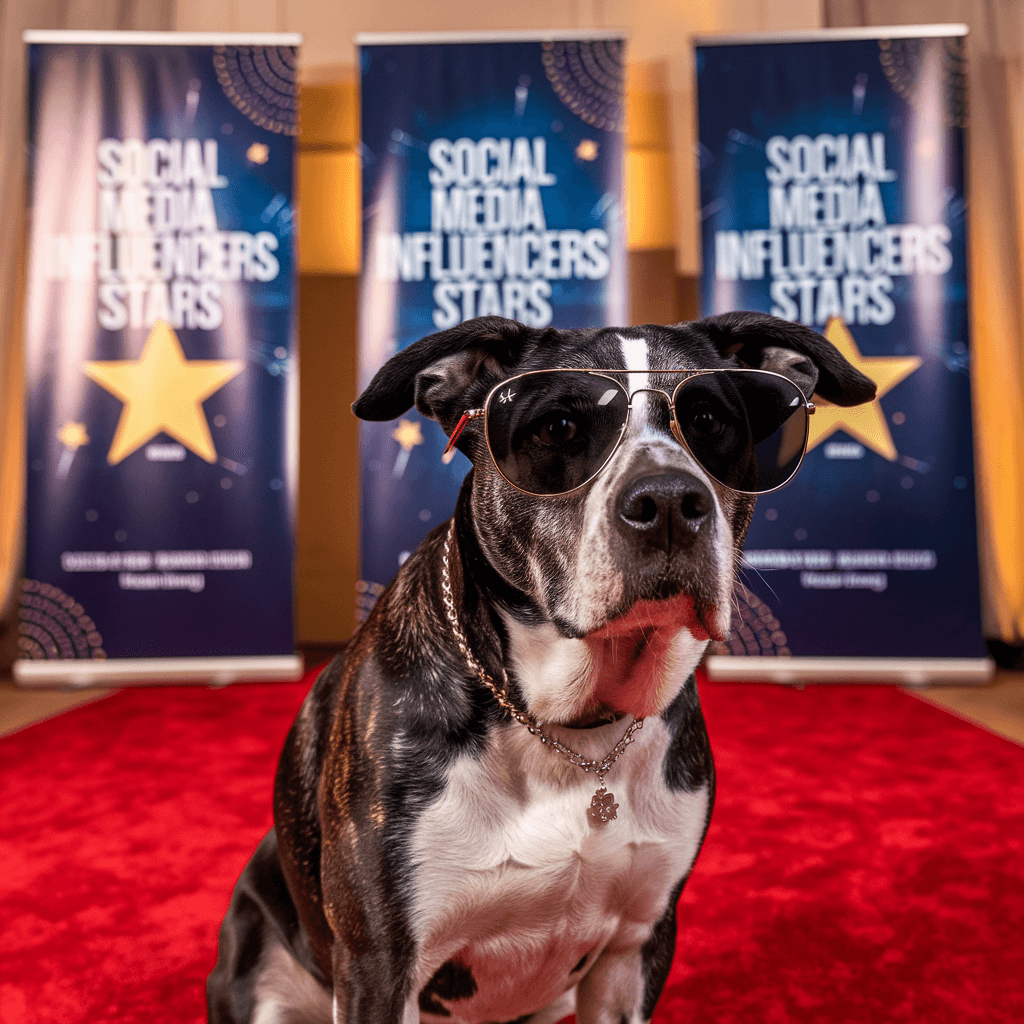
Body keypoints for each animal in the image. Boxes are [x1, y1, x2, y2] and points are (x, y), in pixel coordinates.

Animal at [205, 311, 872, 1024]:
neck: (569, 726)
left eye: (708, 419)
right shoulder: (378, 963)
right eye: (559, 429)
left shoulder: (636, 945)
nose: (669, 500)